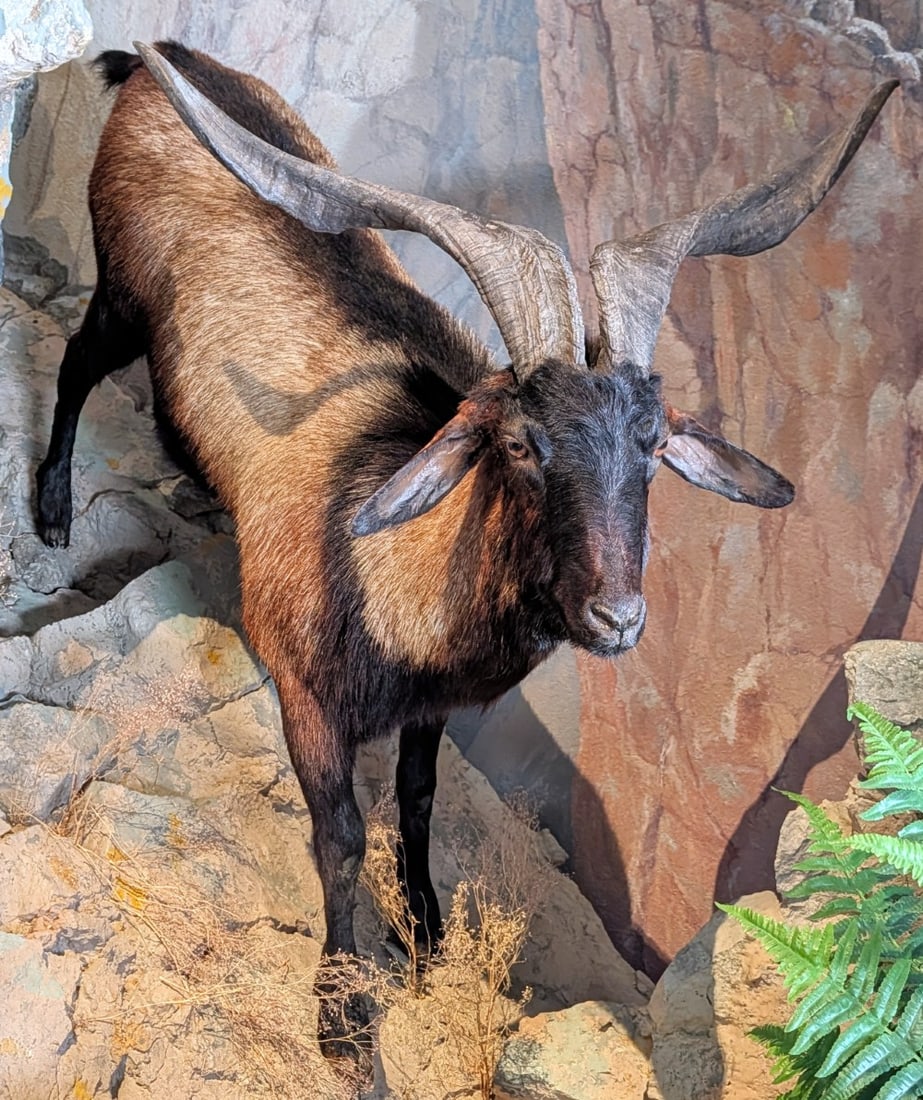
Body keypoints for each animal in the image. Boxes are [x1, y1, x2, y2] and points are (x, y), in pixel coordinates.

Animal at [35, 41, 895, 1056]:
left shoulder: (431, 707)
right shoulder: (307, 696)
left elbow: (416, 803)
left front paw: (428, 936)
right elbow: (340, 838)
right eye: (519, 443)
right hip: (121, 292)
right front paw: (342, 1016)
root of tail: (157, 64)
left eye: (652, 445)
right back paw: (51, 509)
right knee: (77, 361)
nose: (616, 617)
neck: (391, 581)